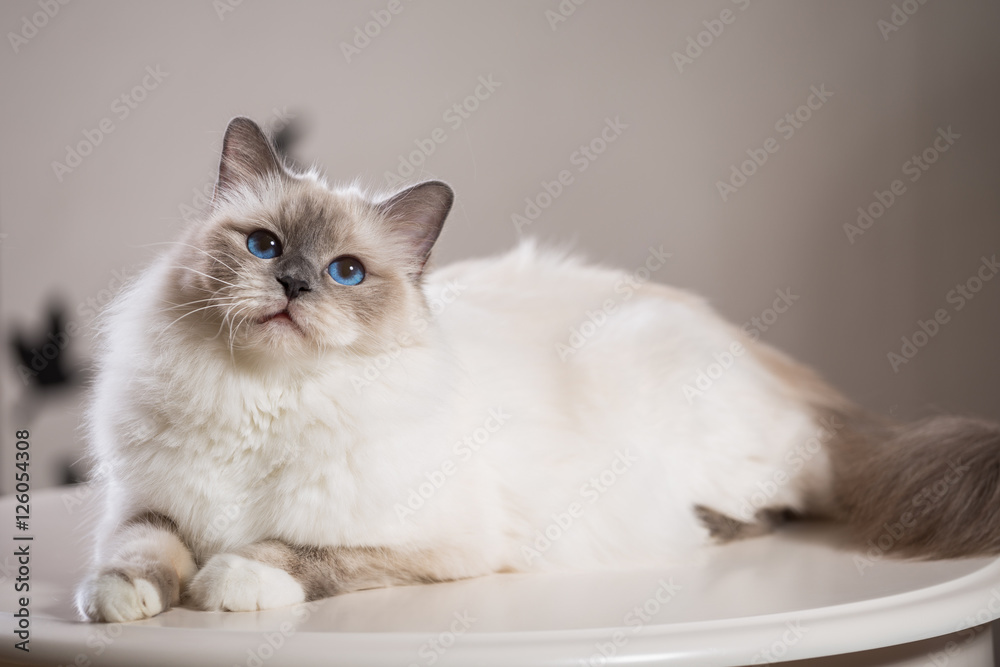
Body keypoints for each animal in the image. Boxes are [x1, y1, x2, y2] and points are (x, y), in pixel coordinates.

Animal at [74, 117, 1000, 624]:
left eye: (345, 271)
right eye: (265, 246)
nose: (294, 285)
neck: (262, 398)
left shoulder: (437, 542)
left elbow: (300, 552)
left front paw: (229, 580)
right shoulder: (149, 504)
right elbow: (137, 550)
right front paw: (120, 600)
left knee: (773, 506)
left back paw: (712, 523)